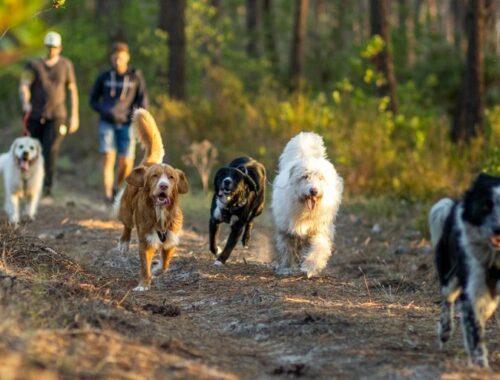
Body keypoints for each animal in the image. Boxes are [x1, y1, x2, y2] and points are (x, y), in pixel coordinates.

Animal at [115, 108, 189, 292]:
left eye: (171, 177)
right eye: (155, 176)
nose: (163, 186)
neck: (160, 213)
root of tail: (149, 162)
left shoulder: (171, 239)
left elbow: (165, 264)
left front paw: (156, 270)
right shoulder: (146, 239)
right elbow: (144, 266)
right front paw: (143, 284)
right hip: (126, 208)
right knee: (126, 225)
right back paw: (124, 243)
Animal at [272, 132, 342, 278]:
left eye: (321, 178)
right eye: (305, 176)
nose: (313, 191)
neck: (306, 210)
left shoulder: (320, 229)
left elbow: (319, 248)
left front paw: (310, 266)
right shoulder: (286, 229)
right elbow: (287, 248)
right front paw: (286, 268)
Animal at [430, 174, 500, 366]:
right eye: (485, 206)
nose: (498, 229)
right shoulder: (471, 291)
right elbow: (475, 335)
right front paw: (480, 367)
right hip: (450, 277)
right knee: (447, 300)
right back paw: (444, 331)